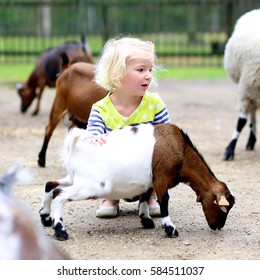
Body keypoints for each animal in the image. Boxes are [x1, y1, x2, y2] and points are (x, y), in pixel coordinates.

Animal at [39, 123, 236, 242]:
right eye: (223, 208)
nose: (218, 226)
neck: (181, 151)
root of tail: (75, 147)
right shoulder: (161, 177)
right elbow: (164, 202)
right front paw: (170, 229)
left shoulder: (149, 181)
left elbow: (145, 197)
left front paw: (146, 220)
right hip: (92, 186)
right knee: (58, 195)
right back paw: (60, 231)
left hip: (75, 178)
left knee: (50, 185)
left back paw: (46, 218)